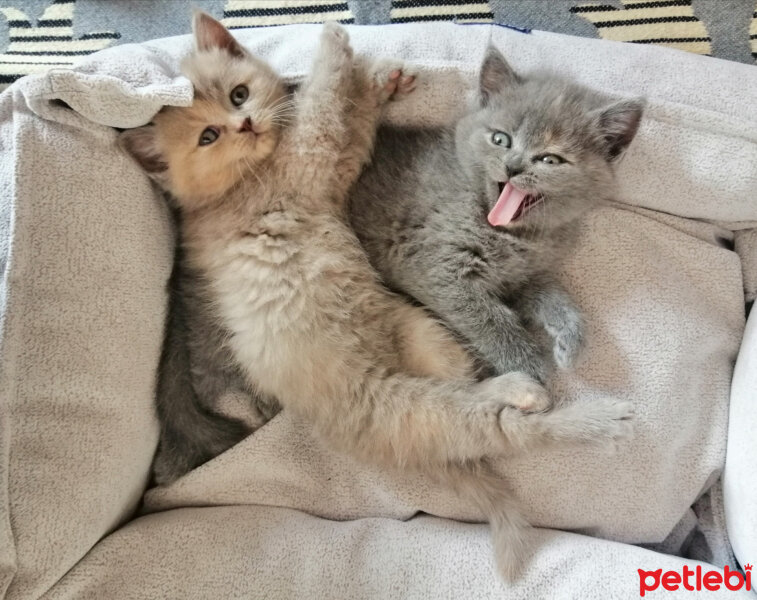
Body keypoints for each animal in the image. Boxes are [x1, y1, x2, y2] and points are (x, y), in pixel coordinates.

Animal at [348, 48, 644, 384]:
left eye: (550, 159)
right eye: (501, 139)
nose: (513, 167)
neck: (510, 233)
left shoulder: (521, 275)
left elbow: (550, 292)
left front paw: (571, 335)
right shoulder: (430, 262)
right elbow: (488, 319)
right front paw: (531, 368)